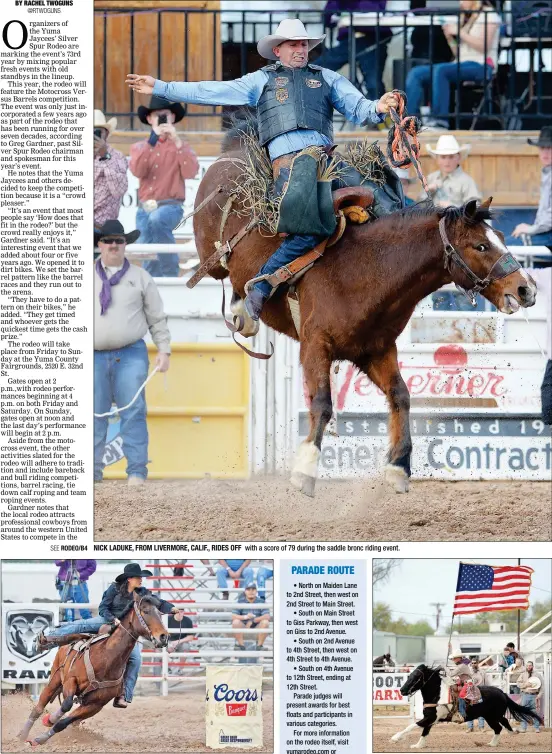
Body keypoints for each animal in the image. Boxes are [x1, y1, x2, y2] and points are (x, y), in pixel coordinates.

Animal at [17, 592, 168, 748]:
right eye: (145, 611)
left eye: (160, 613)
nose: (164, 636)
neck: (106, 659)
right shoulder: (70, 681)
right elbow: (66, 704)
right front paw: (49, 719)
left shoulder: (95, 705)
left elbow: (63, 723)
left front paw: (40, 738)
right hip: (55, 679)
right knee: (39, 708)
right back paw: (22, 736)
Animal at [192, 117, 536, 496]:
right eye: (480, 245)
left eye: (500, 238)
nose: (526, 289)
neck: (367, 269)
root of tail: (233, 152)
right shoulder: (315, 345)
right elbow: (322, 403)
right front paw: (305, 469)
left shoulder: (375, 350)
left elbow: (401, 396)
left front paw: (398, 466)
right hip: (213, 252)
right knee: (220, 268)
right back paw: (245, 305)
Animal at [392, 664, 544, 748]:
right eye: (409, 675)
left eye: (416, 677)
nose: (402, 690)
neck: (438, 694)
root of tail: (502, 692)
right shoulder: (431, 718)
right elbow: (424, 732)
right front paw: (418, 745)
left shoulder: (431, 718)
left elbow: (412, 726)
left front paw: (395, 738)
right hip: (490, 716)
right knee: (500, 726)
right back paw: (495, 742)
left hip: (494, 715)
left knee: (502, 724)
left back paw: (507, 736)